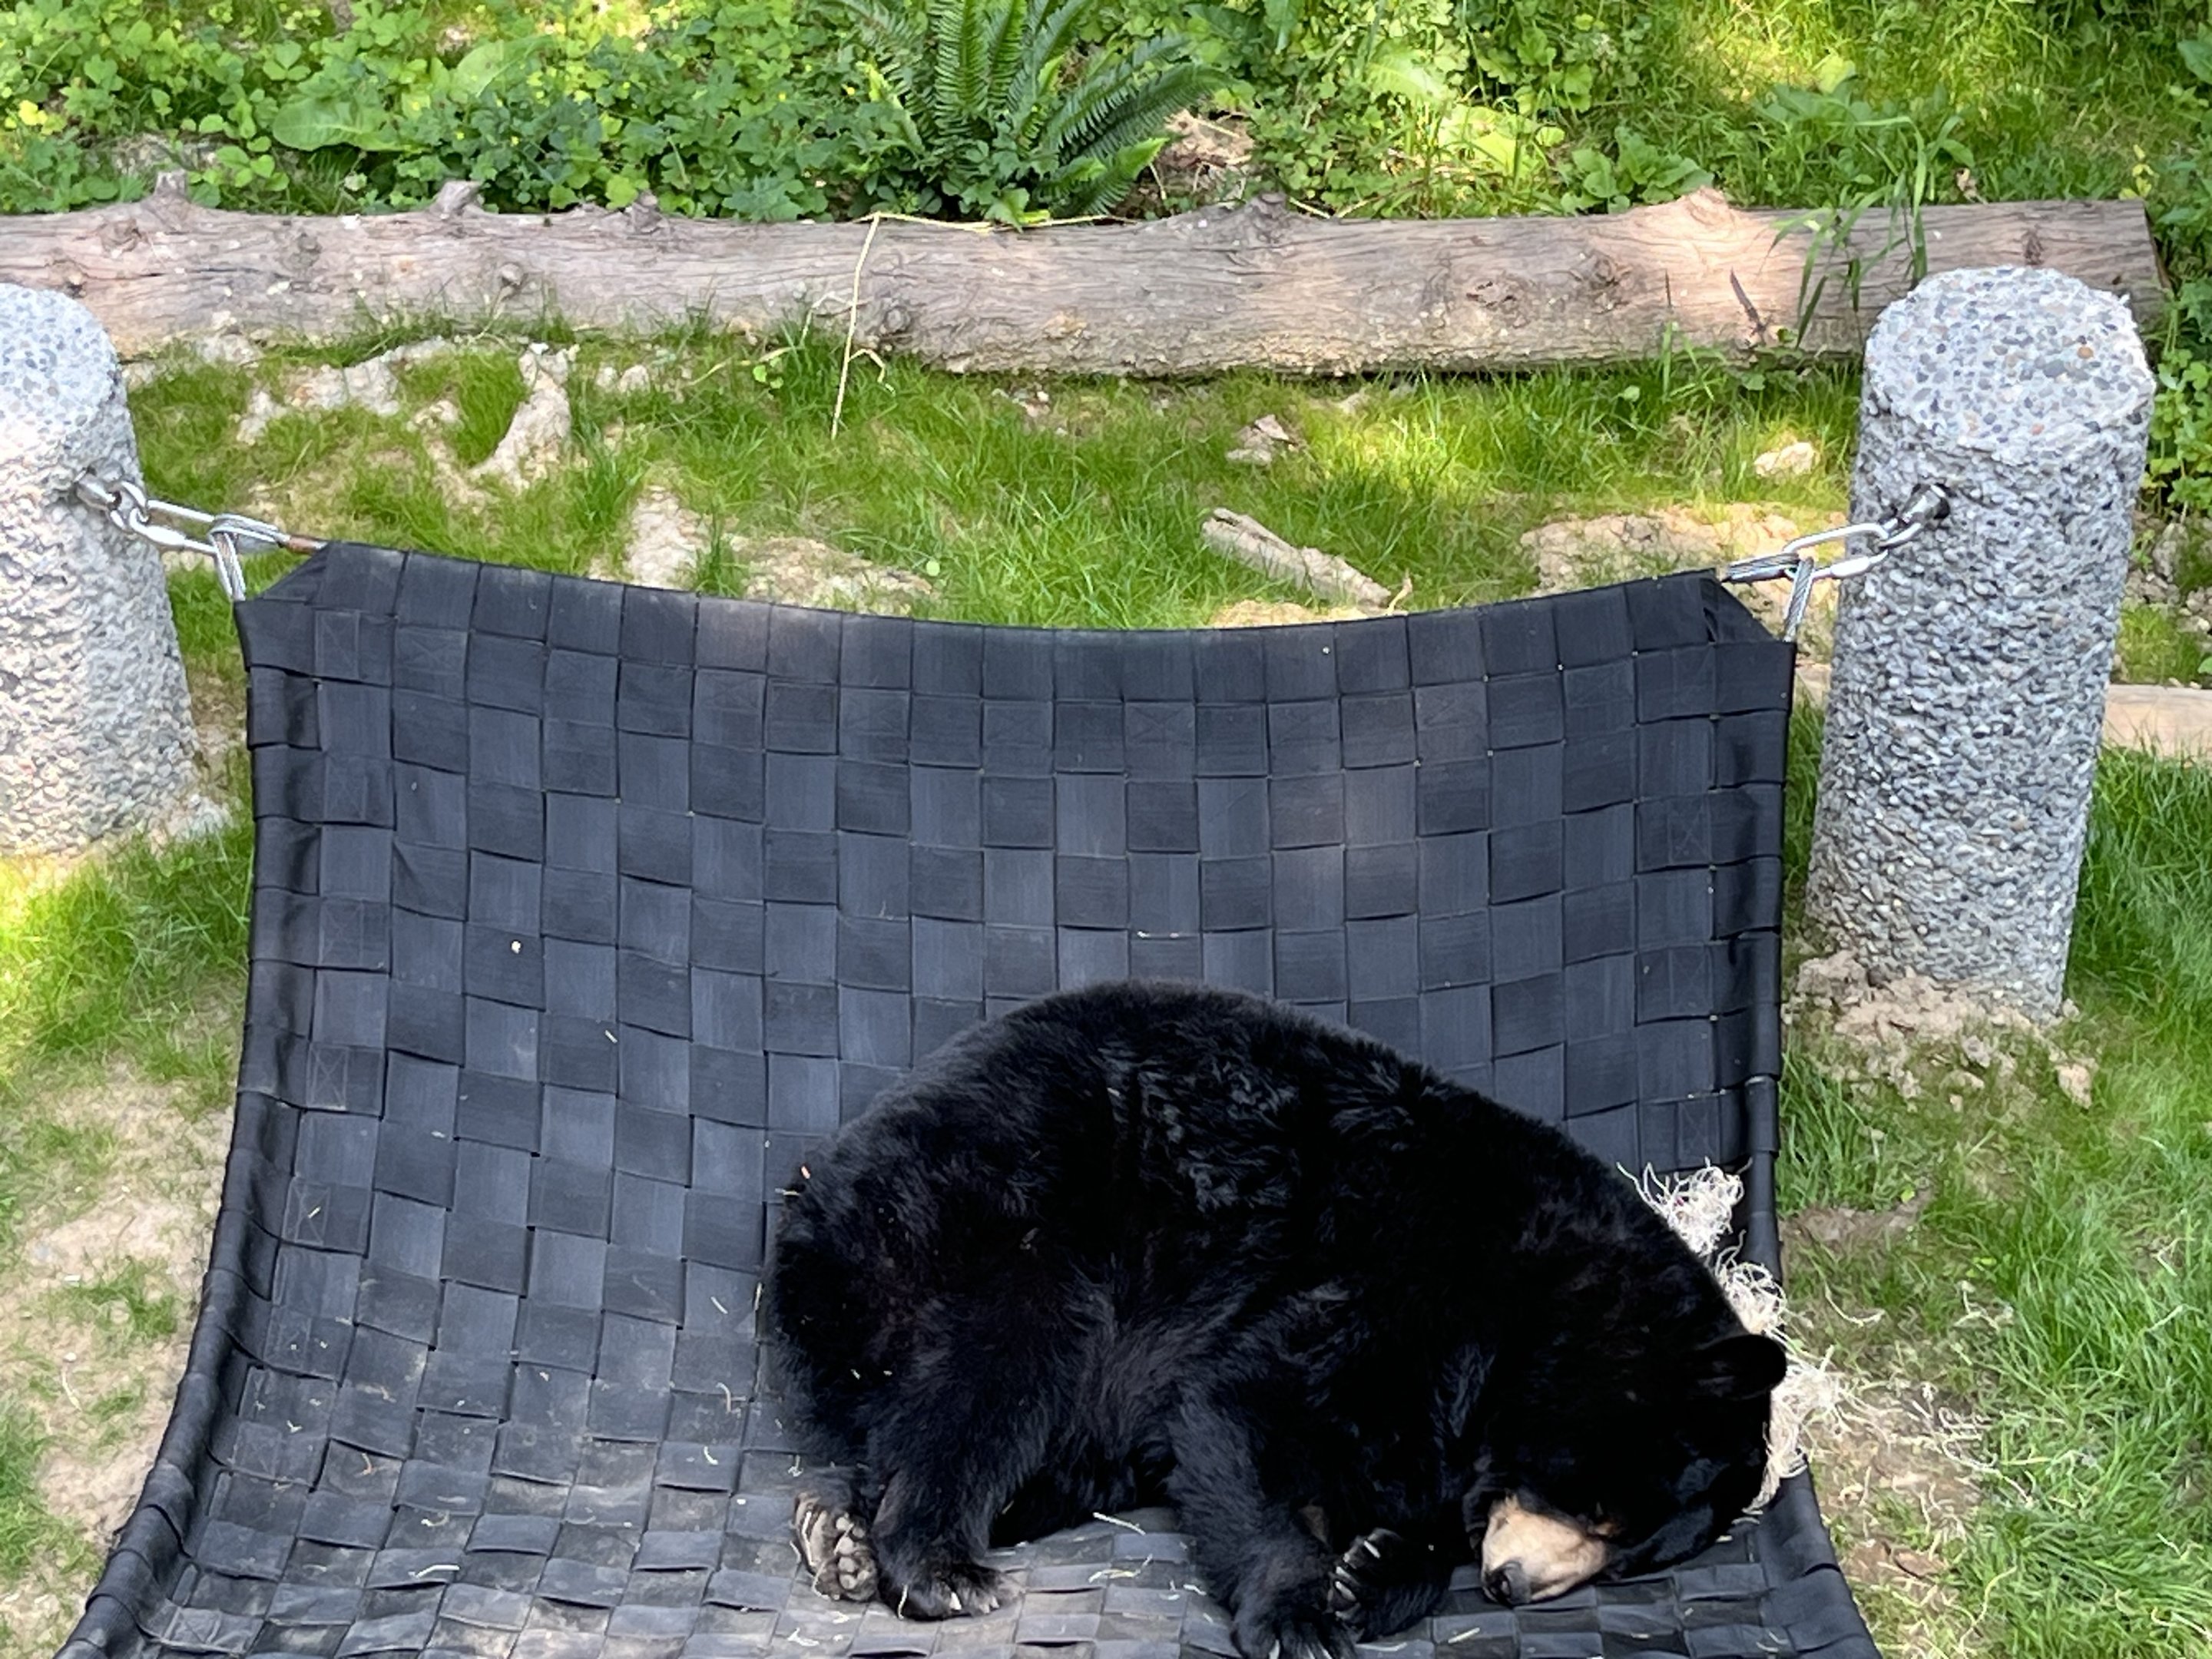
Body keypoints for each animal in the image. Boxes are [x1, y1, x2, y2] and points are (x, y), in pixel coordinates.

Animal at [762, 980, 1784, 1659]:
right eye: (1599, 1508)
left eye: (1628, 1561)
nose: (1513, 1586)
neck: (1535, 1292)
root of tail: (815, 1189)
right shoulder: (1400, 1277)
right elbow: (1250, 1404)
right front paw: (1300, 1615)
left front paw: (1371, 1567)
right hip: (970, 1216)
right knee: (1002, 1367)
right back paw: (936, 1563)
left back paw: (841, 1530)